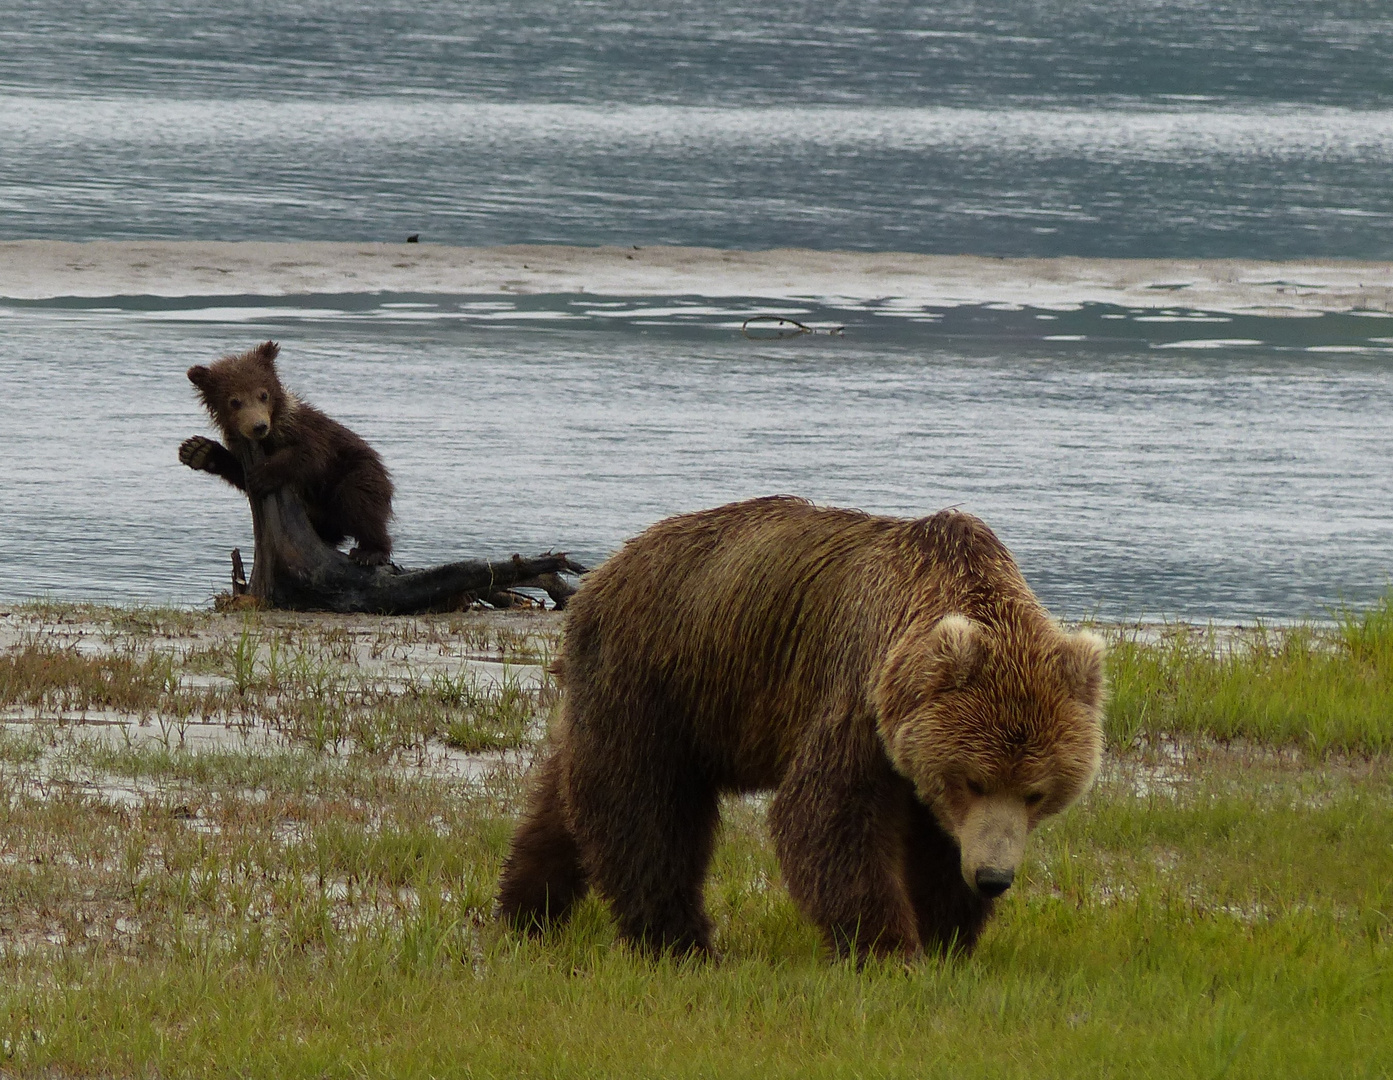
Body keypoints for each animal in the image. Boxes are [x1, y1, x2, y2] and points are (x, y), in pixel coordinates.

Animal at [179, 344, 395, 565]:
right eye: (234, 401)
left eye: (263, 394)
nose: (259, 426)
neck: (269, 438)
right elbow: (239, 473)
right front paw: (197, 450)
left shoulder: (308, 433)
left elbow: (310, 455)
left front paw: (263, 475)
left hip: (358, 470)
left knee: (359, 502)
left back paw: (370, 551)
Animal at [501, 498, 1108, 964]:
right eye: (974, 780)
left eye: (1037, 793)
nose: (993, 877)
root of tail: (606, 569)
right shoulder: (858, 697)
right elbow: (830, 814)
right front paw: (887, 949)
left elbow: (938, 846)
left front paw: (946, 939)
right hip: (658, 675)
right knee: (643, 804)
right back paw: (679, 940)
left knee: (568, 795)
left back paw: (527, 907)